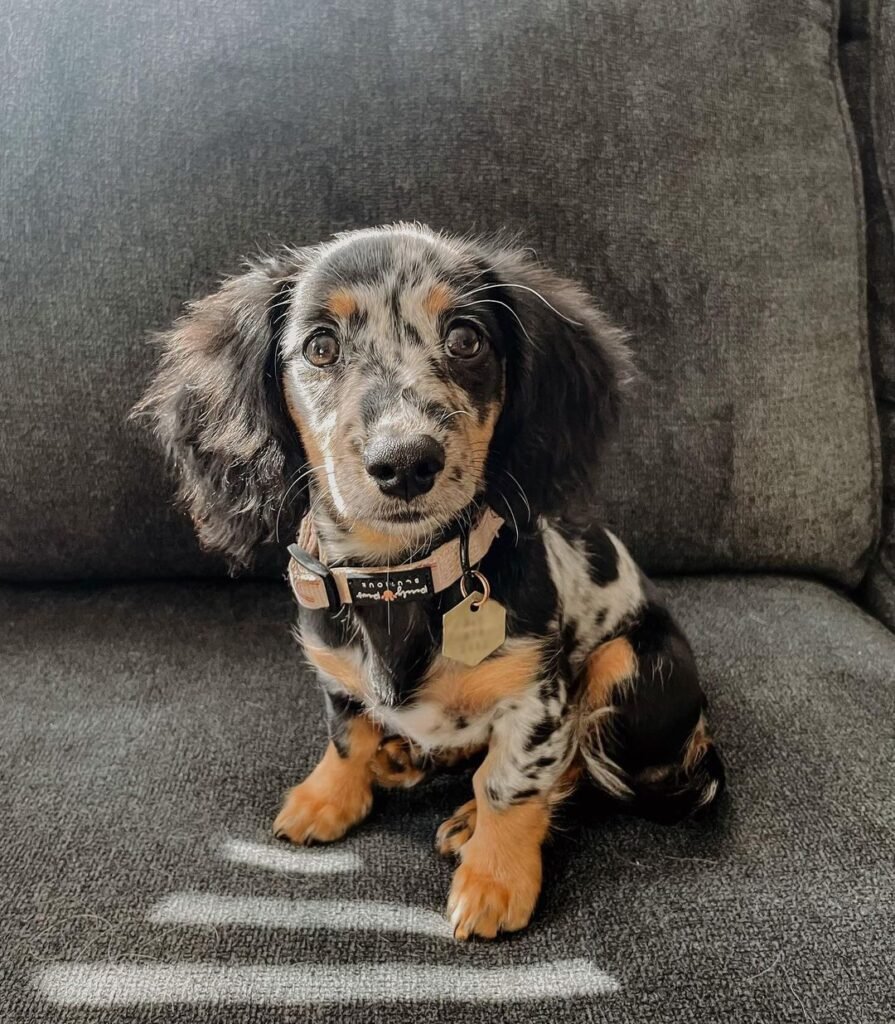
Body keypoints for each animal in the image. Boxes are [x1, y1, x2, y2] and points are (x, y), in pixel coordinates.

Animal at [137, 223, 724, 940]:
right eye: (320, 346)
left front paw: (495, 876)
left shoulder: (538, 696)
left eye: (466, 338)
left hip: (623, 664)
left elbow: (510, 782)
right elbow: (346, 733)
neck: (397, 579)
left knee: (578, 766)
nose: (405, 463)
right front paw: (329, 796)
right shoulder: (336, 669)